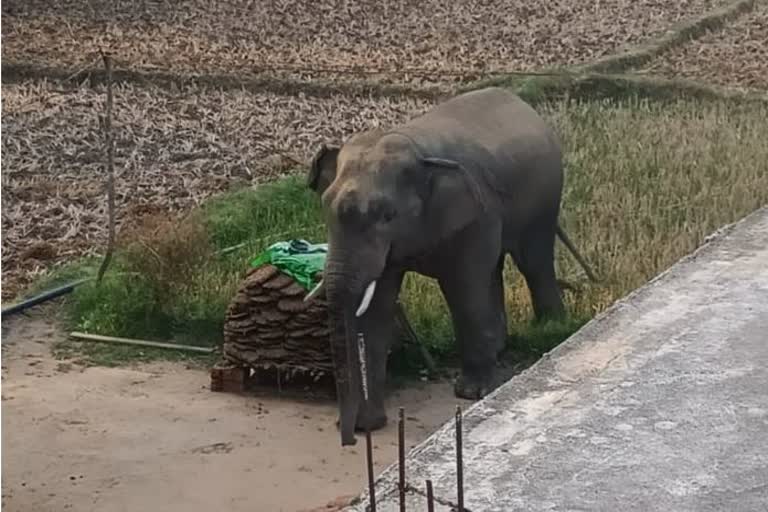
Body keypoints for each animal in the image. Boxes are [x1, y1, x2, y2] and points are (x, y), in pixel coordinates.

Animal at [304, 86, 596, 446]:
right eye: (325, 209)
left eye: (387, 215)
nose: (349, 440)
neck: (413, 145)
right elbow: (374, 308)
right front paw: (367, 424)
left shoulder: (474, 215)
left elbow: (463, 289)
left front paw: (473, 394)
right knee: (495, 269)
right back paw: (499, 347)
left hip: (545, 197)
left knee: (532, 261)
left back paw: (550, 328)